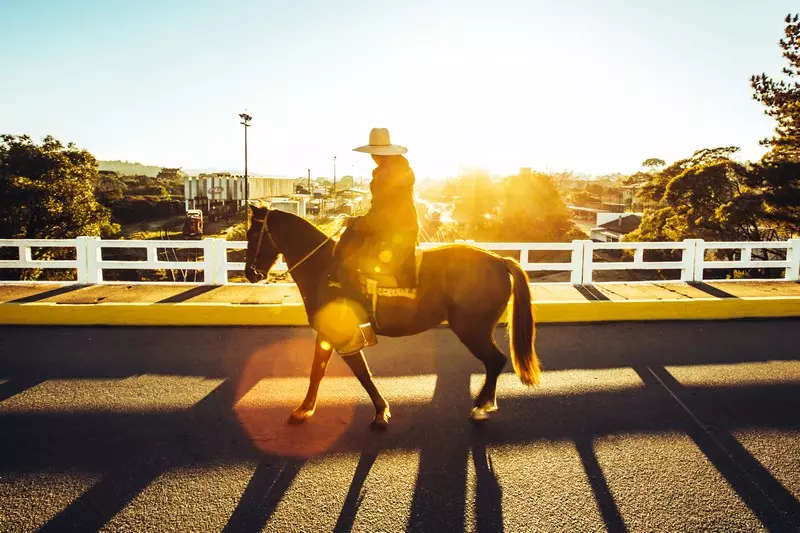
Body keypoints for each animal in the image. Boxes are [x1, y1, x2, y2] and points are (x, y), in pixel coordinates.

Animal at [245, 204, 544, 428]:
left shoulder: (343, 336)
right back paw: (484, 404)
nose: (250, 273)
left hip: (472, 330)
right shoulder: (327, 334)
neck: (322, 269)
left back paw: (481, 406)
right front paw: (305, 409)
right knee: (495, 362)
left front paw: (380, 411)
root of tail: (500, 260)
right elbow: (318, 371)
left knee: (495, 360)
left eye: (252, 234)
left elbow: (360, 374)